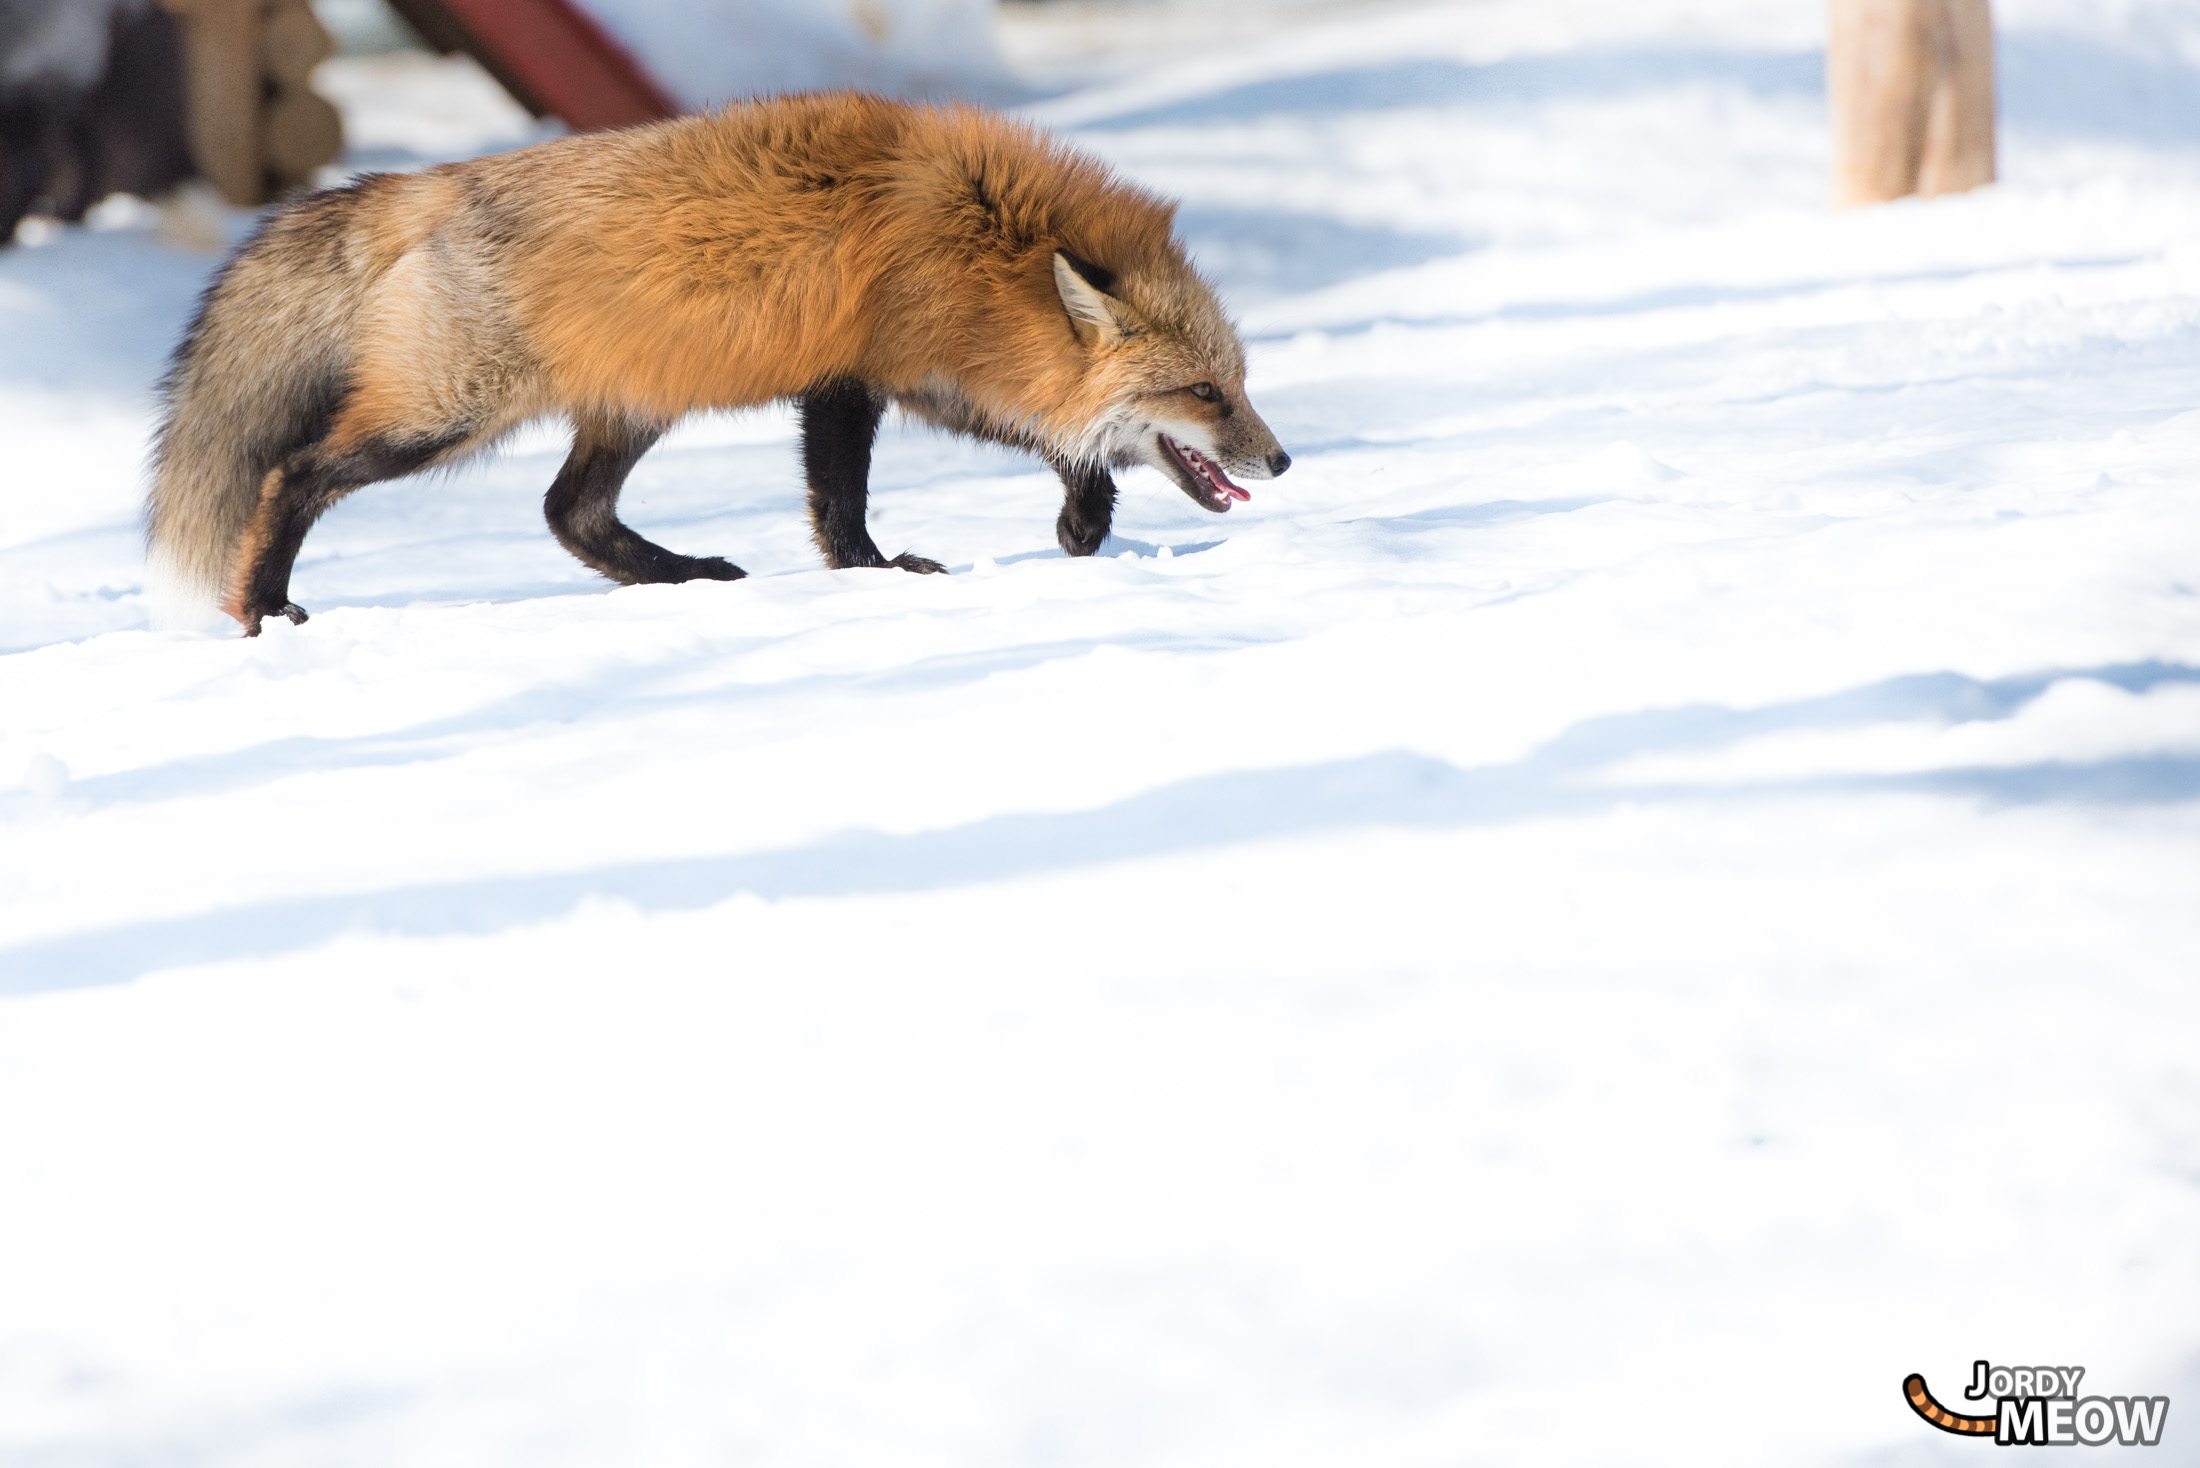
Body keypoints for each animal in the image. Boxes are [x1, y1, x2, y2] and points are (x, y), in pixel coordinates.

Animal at [150, 91, 1284, 633]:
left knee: (570, 514)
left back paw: (686, 578)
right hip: (440, 421)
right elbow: (843, 505)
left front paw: (1084, 520)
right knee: (291, 474)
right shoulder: (857, 374)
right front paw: (878, 577)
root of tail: (412, 188)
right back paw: (260, 612)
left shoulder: (914, 371)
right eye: (1203, 391)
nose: (1279, 462)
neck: (982, 234)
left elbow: (1053, 440)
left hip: (629, 407)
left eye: (1239, 384)